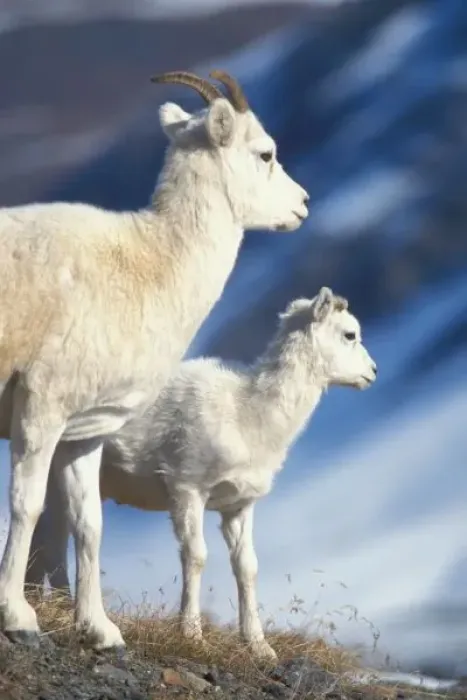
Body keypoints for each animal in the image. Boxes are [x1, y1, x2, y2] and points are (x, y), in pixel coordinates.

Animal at [0, 69, 310, 650]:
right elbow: (25, 507)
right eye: (265, 153)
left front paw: (101, 630)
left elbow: (89, 524)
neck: (149, 263)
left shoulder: (84, 433)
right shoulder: (41, 410)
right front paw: (18, 617)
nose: (303, 204)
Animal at [26, 287, 377, 660]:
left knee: (51, 531)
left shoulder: (238, 507)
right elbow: (196, 556)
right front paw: (192, 634)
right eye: (349, 334)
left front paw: (259, 646)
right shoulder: (188, 490)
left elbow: (246, 567)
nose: (373, 372)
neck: (248, 412)